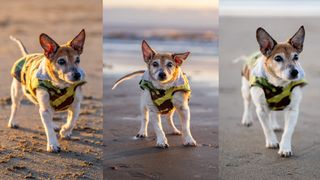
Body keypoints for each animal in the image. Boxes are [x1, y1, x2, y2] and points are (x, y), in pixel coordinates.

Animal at [241, 26, 306, 157]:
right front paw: (271, 141)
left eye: (296, 57)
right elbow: (267, 128)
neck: (278, 84)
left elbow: (288, 131)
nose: (295, 72)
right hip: (246, 89)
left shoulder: (293, 111)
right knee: (247, 103)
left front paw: (285, 148)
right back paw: (247, 119)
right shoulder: (261, 109)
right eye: (278, 58)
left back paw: (274, 124)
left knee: (272, 112)